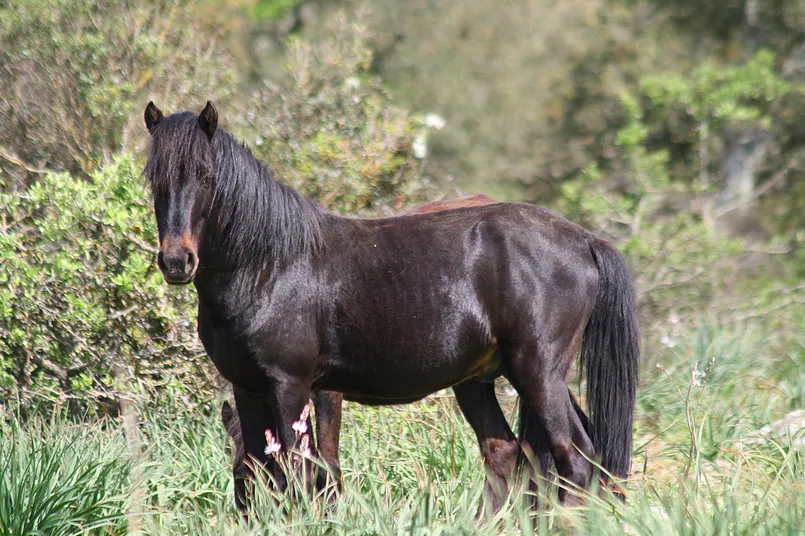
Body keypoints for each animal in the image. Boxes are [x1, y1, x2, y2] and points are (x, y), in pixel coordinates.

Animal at [141, 102, 636, 512]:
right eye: (154, 180)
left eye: (206, 176)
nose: (176, 261)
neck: (269, 265)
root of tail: (584, 239)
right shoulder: (247, 388)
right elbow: (267, 467)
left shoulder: (291, 386)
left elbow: (303, 472)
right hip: (480, 380)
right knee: (509, 453)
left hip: (538, 372)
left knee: (574, 459)